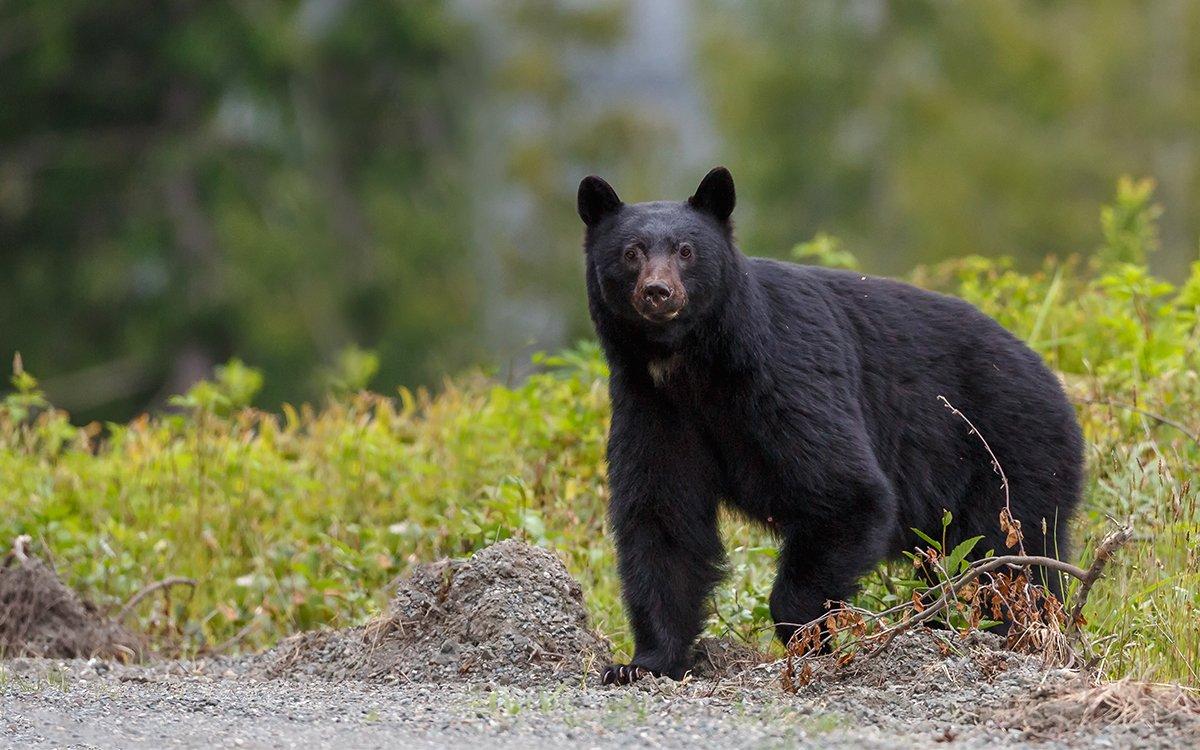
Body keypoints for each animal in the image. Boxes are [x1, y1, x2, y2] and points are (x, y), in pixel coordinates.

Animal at [580, 166, 1089, 681]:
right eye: (631, 252)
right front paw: (642, 663)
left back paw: (1014, 634)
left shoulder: (788, 375)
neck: (693, 366)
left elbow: (845, 492)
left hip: (1009, 455)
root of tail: (1057, 384)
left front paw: (808, 639)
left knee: (1006, 559)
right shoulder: (653, 406)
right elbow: (663, 520)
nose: (658, 292)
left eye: (686, 251)